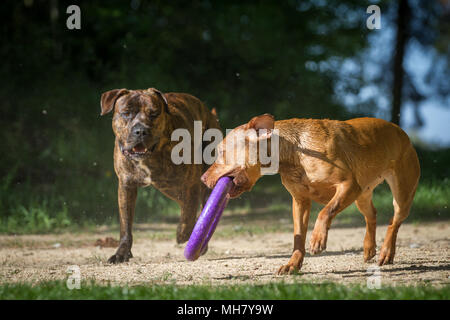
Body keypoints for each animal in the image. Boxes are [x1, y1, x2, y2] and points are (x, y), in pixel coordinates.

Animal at [202, 115, 420, 276]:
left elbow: (326, 211)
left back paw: (386, 252)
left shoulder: (348, 185)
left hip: (400, 194)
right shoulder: (300, 202)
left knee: (394, 222)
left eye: (221, 152)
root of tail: (402, 132)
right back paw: (369, 248)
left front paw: (317, 239)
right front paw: (292, 265)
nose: (203, 178)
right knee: (372, 215)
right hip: (362, 195)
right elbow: (298, 238)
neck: (294, 153)